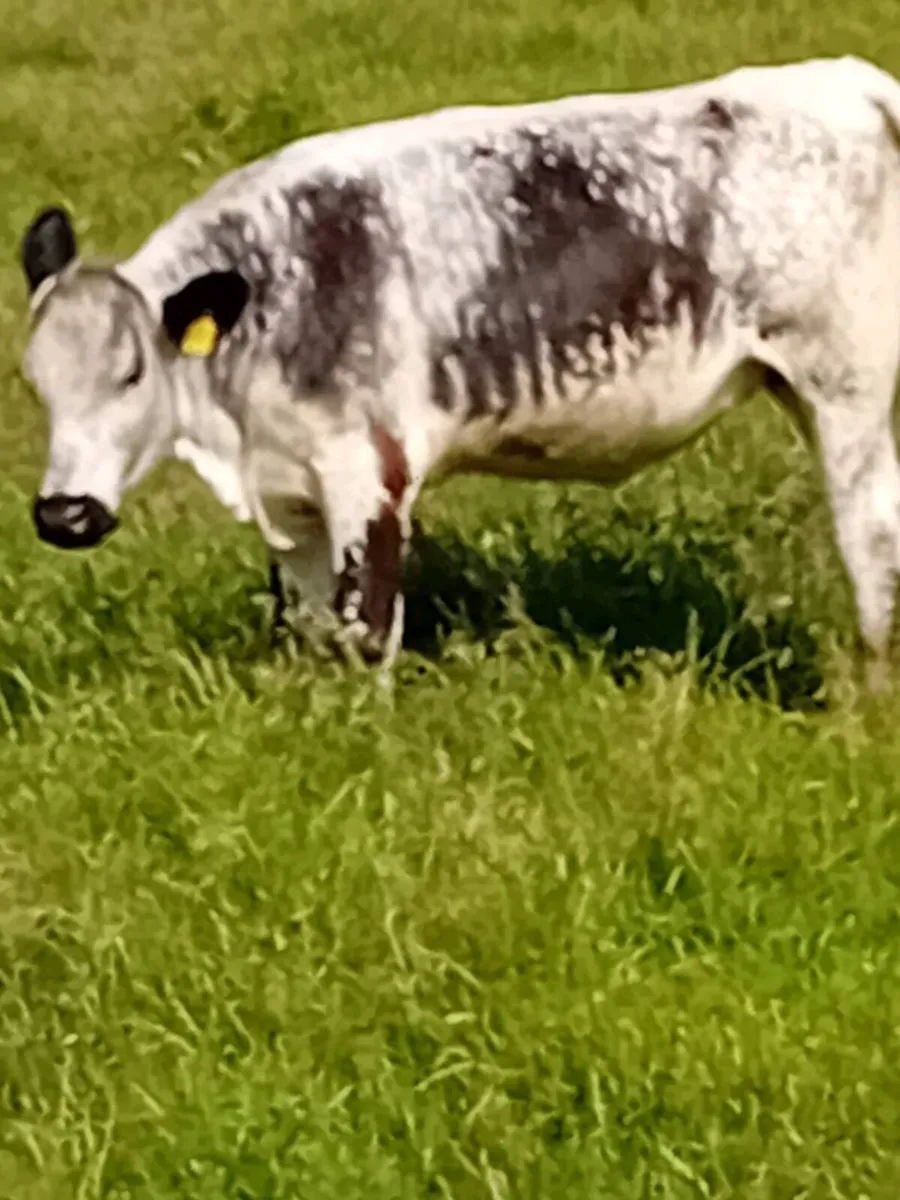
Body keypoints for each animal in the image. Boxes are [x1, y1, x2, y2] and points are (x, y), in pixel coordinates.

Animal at [18, 55, 900, 690]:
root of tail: (850, 82)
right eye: (34, 384)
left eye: (133, 374)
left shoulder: (368, 468)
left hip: (846, 389)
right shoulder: (291, 492)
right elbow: (307, 630)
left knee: (874, 548)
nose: (63, 514)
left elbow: (365, 629)